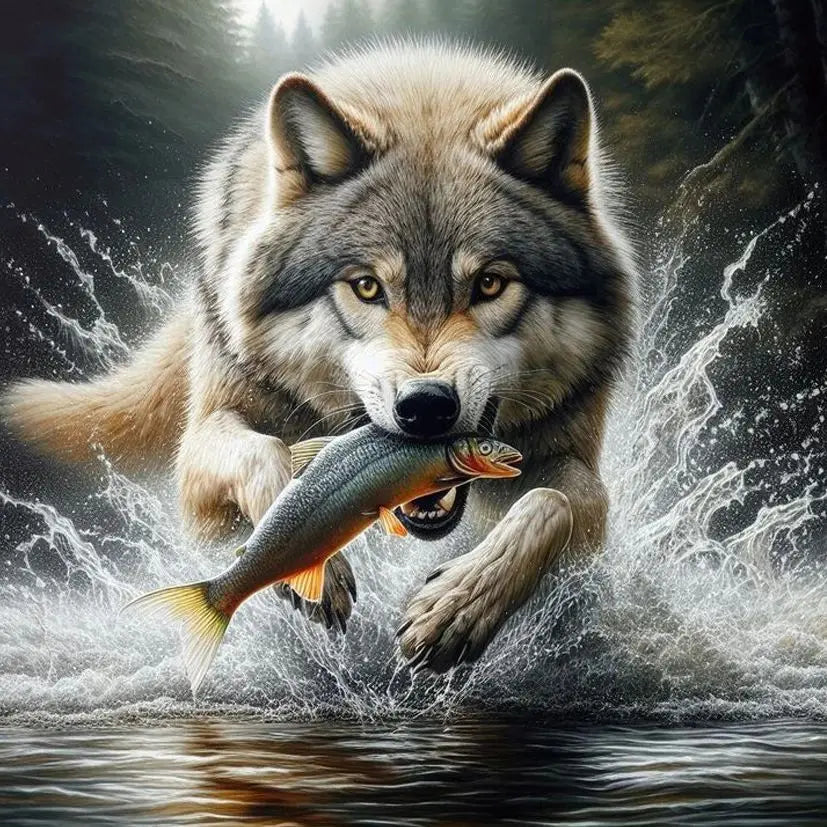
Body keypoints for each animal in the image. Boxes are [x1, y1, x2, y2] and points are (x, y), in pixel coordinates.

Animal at [3, 42, 634, 673]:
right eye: (367, 287)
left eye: (489, 284)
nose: (427, 408)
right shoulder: (203, 456)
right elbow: (264, 454)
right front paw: (314, 564)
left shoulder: (568, 459)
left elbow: (556, 500)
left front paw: (457, 604)